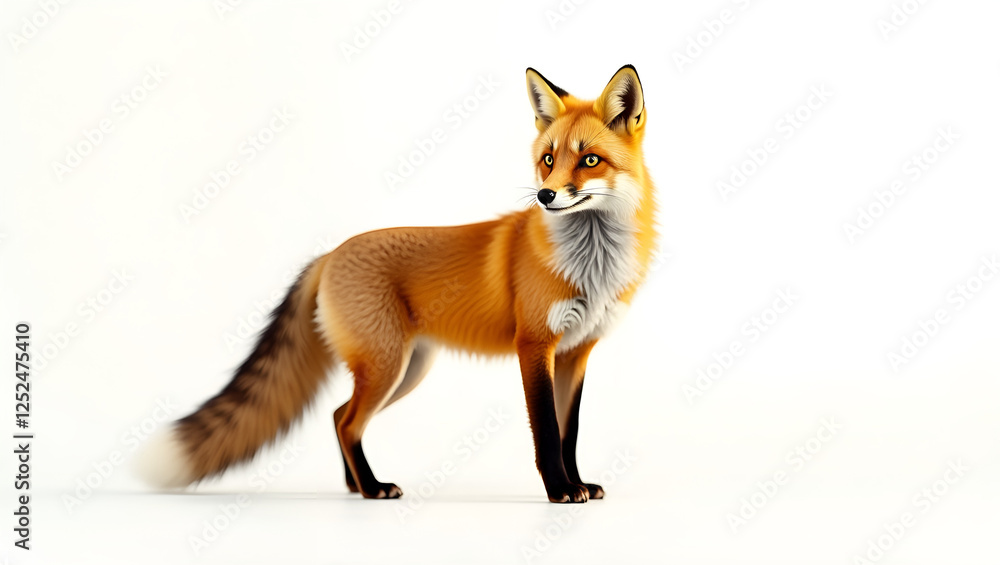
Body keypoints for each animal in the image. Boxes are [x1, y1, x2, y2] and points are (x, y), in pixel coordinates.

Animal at [137, 65, 657, 503]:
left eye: (589, 160)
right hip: (387, 366)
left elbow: (569, 435)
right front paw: (560, 491)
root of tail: (329, 255)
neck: (591, 265)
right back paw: (371, 488)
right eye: (548, 159)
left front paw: (579, 484)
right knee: (347, 422)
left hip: (406, 369)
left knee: (337, 416)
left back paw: (354, 485)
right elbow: (548, 434)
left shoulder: (575, 352)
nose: (546, 196)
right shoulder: (534, 346)